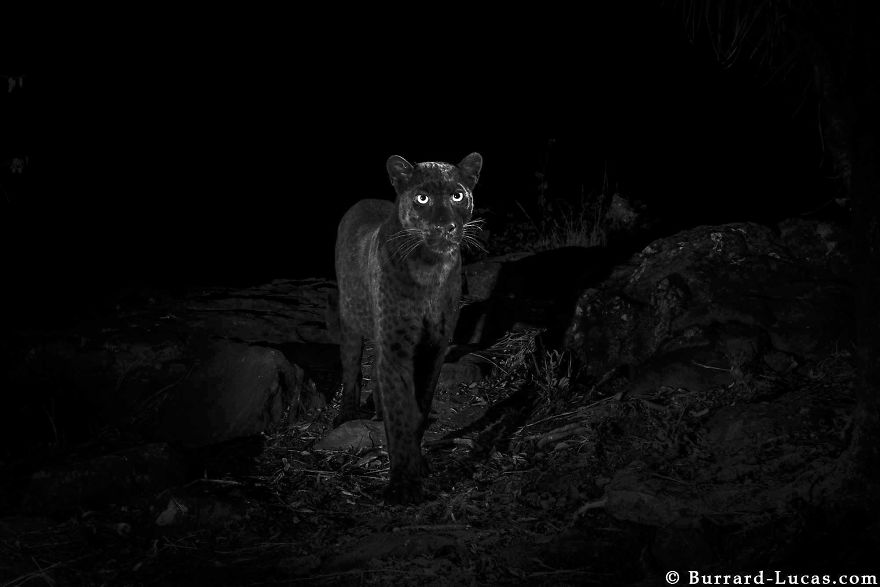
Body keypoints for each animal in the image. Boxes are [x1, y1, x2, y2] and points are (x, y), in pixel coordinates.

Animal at [334, 152, 483, 504]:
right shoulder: (396, 345)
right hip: (350, 319)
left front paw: (419, 465)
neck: (430, 268)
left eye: (458, 195)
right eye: (422, 198)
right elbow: (402, 410)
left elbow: (420, 407)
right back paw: (348, 412)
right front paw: (403, 485)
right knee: (351, 365)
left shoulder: (434, 347)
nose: (444, 227)